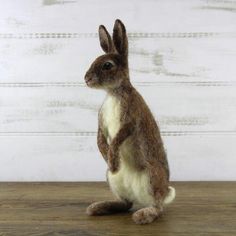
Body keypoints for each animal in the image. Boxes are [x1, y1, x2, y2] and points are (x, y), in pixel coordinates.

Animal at [84, 19, 175, 224]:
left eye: (107, 65)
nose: (86, 79)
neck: (114, 92)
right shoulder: (101, 125)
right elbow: (100, 139)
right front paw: (108, 159)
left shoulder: (130, 120)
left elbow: (119, 137)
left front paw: (114, 161)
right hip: (113, 181)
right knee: (126, 203)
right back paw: (98, 207)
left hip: (152, 175)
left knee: (158, 206)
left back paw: (143, 215)